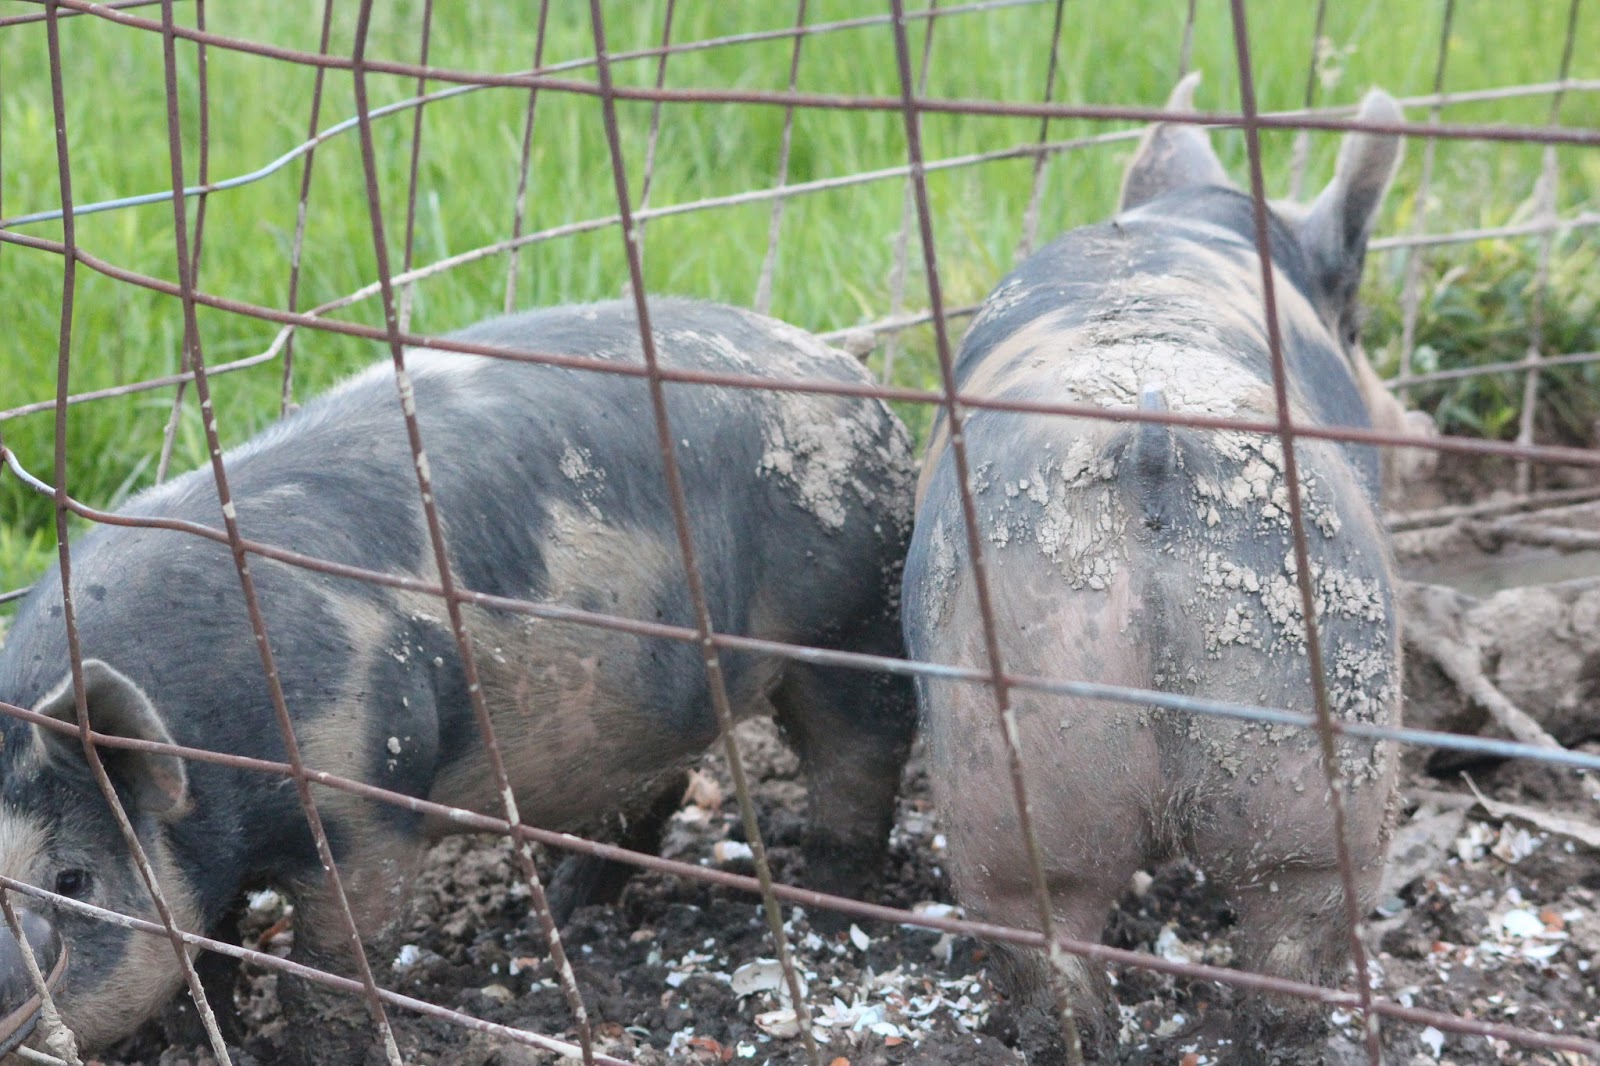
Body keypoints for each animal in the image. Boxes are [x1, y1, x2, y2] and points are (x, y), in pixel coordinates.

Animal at [0, 298, 916, 1059]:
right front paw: (196, 1041)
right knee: (664, 781)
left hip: (852, 616)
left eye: (72, 880)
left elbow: (336, 961)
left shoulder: (366, 790)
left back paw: (820, 902)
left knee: (859, 765)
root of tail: (860, 381)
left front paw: (322, 1049)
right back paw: (572, 899)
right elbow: (208, 953)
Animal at [903, 75, 1407, 1063]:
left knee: (1047, 921)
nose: (1407, 419)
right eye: (1361, 326)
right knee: (1300, 932)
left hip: (1011, 732)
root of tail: (1151, 442)